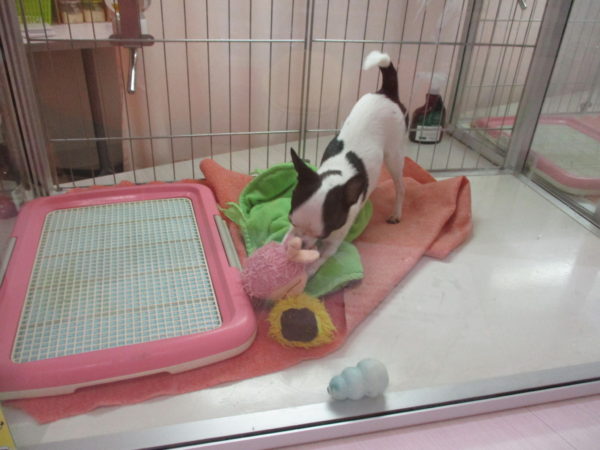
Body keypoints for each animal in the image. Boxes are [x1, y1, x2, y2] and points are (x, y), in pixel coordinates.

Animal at [287, 50, 408, 276]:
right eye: (290, 220)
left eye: (322, 234)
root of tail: (386, 93)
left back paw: (396, 213)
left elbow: (321, 258)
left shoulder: (334, 240)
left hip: (395, 155)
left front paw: (307, 272)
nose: (302, 243)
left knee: (400, 186)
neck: (337, 175)